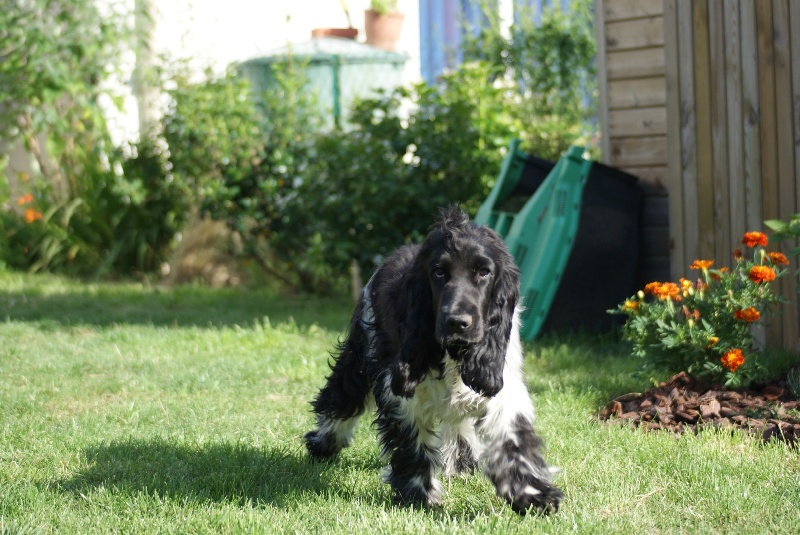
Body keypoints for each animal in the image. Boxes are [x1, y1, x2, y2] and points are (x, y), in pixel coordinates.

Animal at [304, 207, 562, 514]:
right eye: (439, 272)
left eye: (484, 272)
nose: (457, 322)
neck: (453, 353)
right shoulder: (402, 394)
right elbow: (413, 445)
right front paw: (419, 497)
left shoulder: (501, 386)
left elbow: (513, 442)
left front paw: (533, 495)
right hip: (360, 352)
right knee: (340, 398)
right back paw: (322, 444)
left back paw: (462, 464)